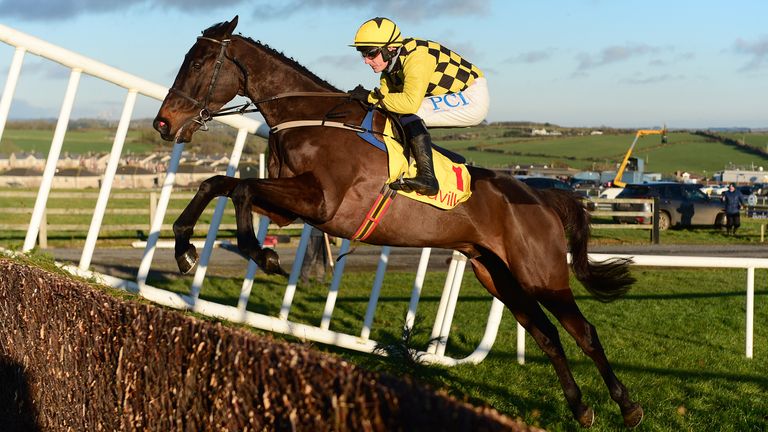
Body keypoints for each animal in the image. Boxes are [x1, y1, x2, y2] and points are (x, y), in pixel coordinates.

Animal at [152, 16, 640, 428]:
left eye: (197, 63)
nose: (163, 123)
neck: (311, 118)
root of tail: (541, 196)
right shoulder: (289, 207)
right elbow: (219, 184)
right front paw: (185, 247)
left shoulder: (322, 202)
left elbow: (239, 190)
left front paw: (260, 254)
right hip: (498, 276)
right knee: (548, 335)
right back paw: (580, 408)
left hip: (542, 275)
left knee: (584, 332)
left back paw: (627, 406)